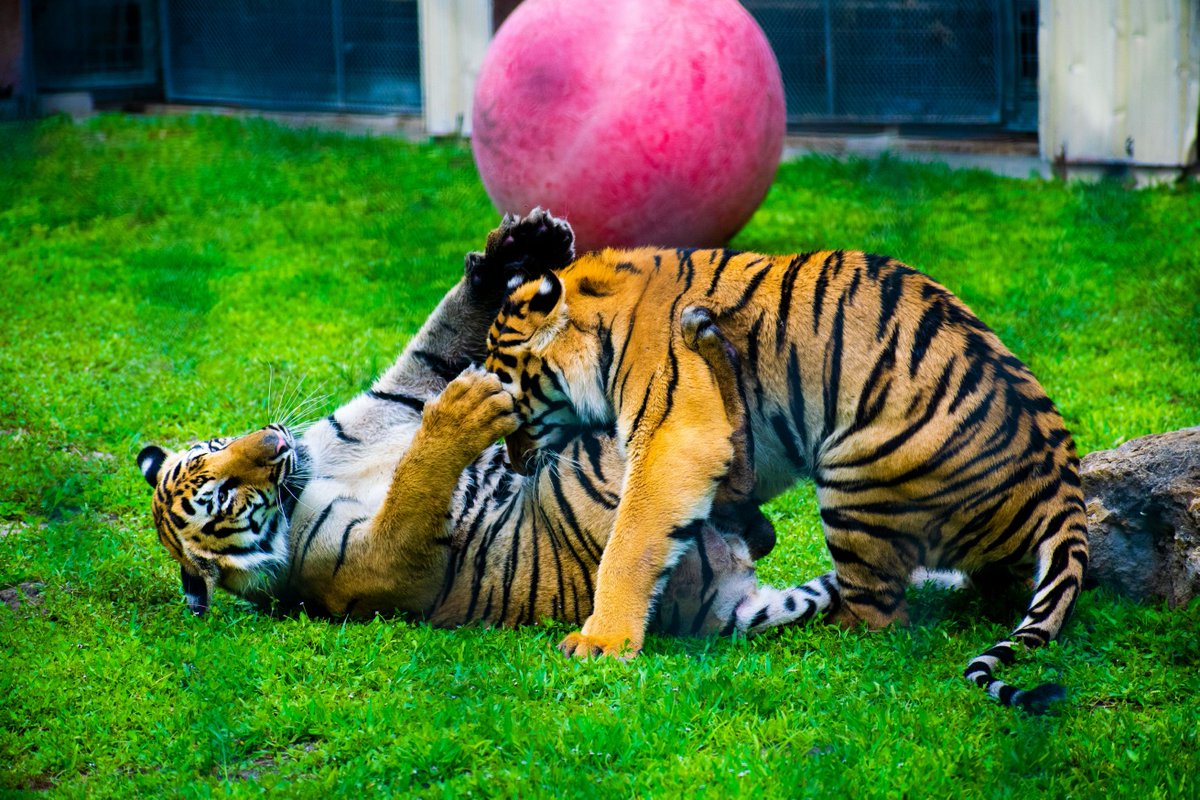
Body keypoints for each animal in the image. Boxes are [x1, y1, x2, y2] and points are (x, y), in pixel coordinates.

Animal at [134, 209, 839, 637]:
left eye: (217, 447)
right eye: (222, 495)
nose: (273, 440)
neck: (311, 476)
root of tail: (731, 598)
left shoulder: (398, 396)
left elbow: (439, 337)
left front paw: (522, 246)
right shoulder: (387, 565)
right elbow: (413, 489)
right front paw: (465, 409)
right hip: (595, 474)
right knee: (721, 462)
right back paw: (700, 338)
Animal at [485, 213, 1089, 713]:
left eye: (508, 404)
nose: (514, 465)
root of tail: (1062, 493)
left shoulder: (673, 435)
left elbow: (630, 541)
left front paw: (600, 641)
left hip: (851, 474)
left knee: (880, 618)